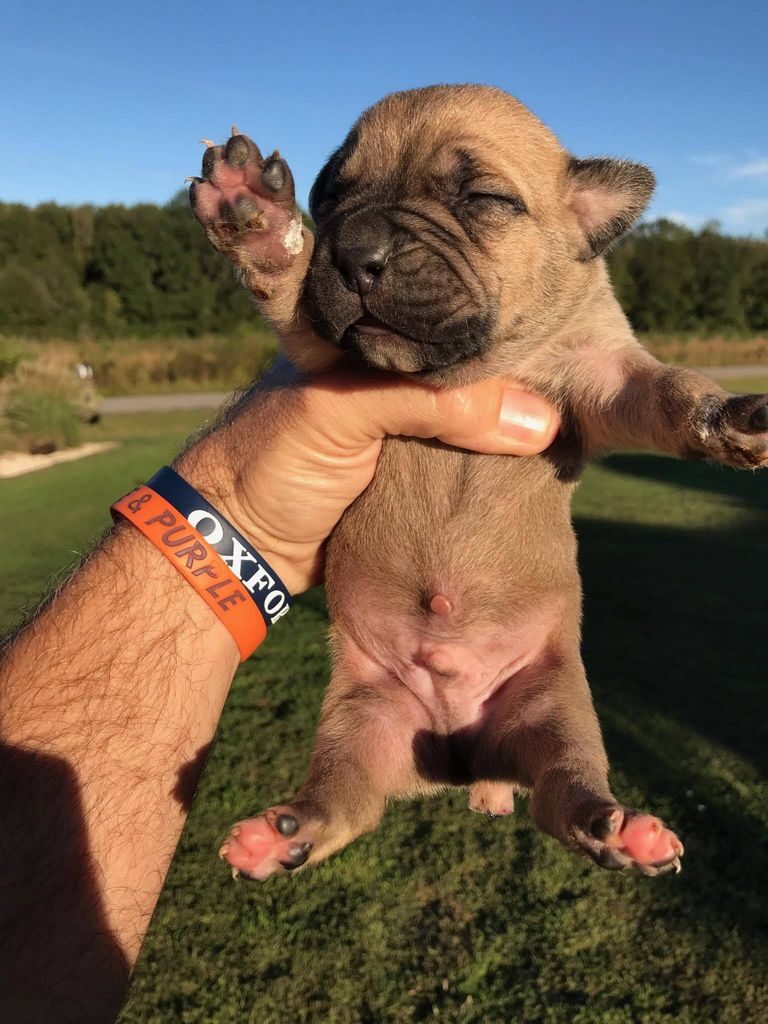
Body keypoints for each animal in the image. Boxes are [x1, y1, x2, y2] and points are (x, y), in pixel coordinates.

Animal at [188, 86, 768, 880]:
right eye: (329, 194)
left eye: (483, 199)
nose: (354, 252)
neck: (464, 368)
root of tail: (462, 756)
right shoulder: (322, 349)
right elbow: (291, 283)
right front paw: (258, 218)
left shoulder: (601, 374)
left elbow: (668, 391)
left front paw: (729, 414)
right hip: (359, 717)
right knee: (343, 803)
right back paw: (280, 836)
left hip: (553, 707)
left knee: (563, 794)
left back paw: (616, 829)